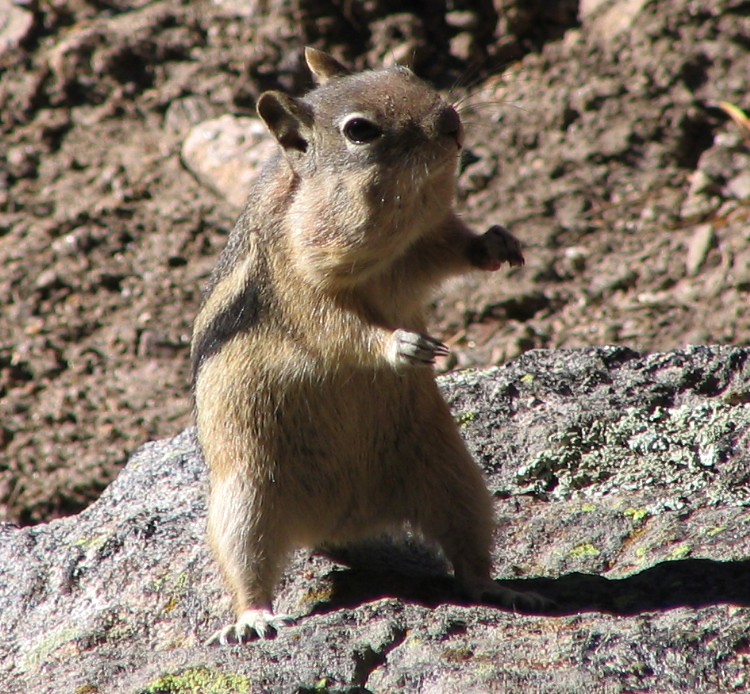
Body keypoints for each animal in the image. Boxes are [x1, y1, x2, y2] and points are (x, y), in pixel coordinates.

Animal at [191, 47, 532, 646]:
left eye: (408, 73)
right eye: (360, 131)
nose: (450, 120)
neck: (392, 236)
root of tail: (336, 523)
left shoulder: (422, 249)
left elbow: (454, 248)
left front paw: (496, 243)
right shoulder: (300, 288)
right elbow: (337, 330)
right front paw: (401, 345)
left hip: (457, 476)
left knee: (467, 549)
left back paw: (497, 589)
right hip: (244, 495)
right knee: (245, 563)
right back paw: (253, 618)